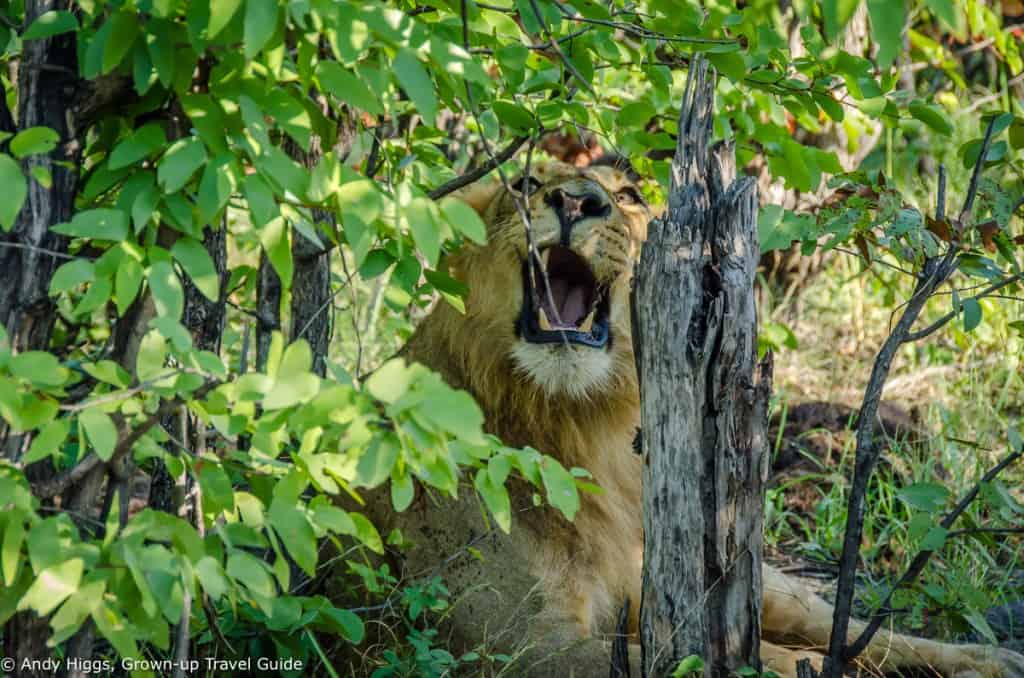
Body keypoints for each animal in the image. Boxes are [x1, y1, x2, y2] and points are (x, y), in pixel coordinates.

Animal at [366, 161, 1024, 675]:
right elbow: (760, 664)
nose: (576, 200)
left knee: (838, 623)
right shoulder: (518, 645)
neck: (576, 421)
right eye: (527, 183)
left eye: (628, 196)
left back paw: (990, 659)